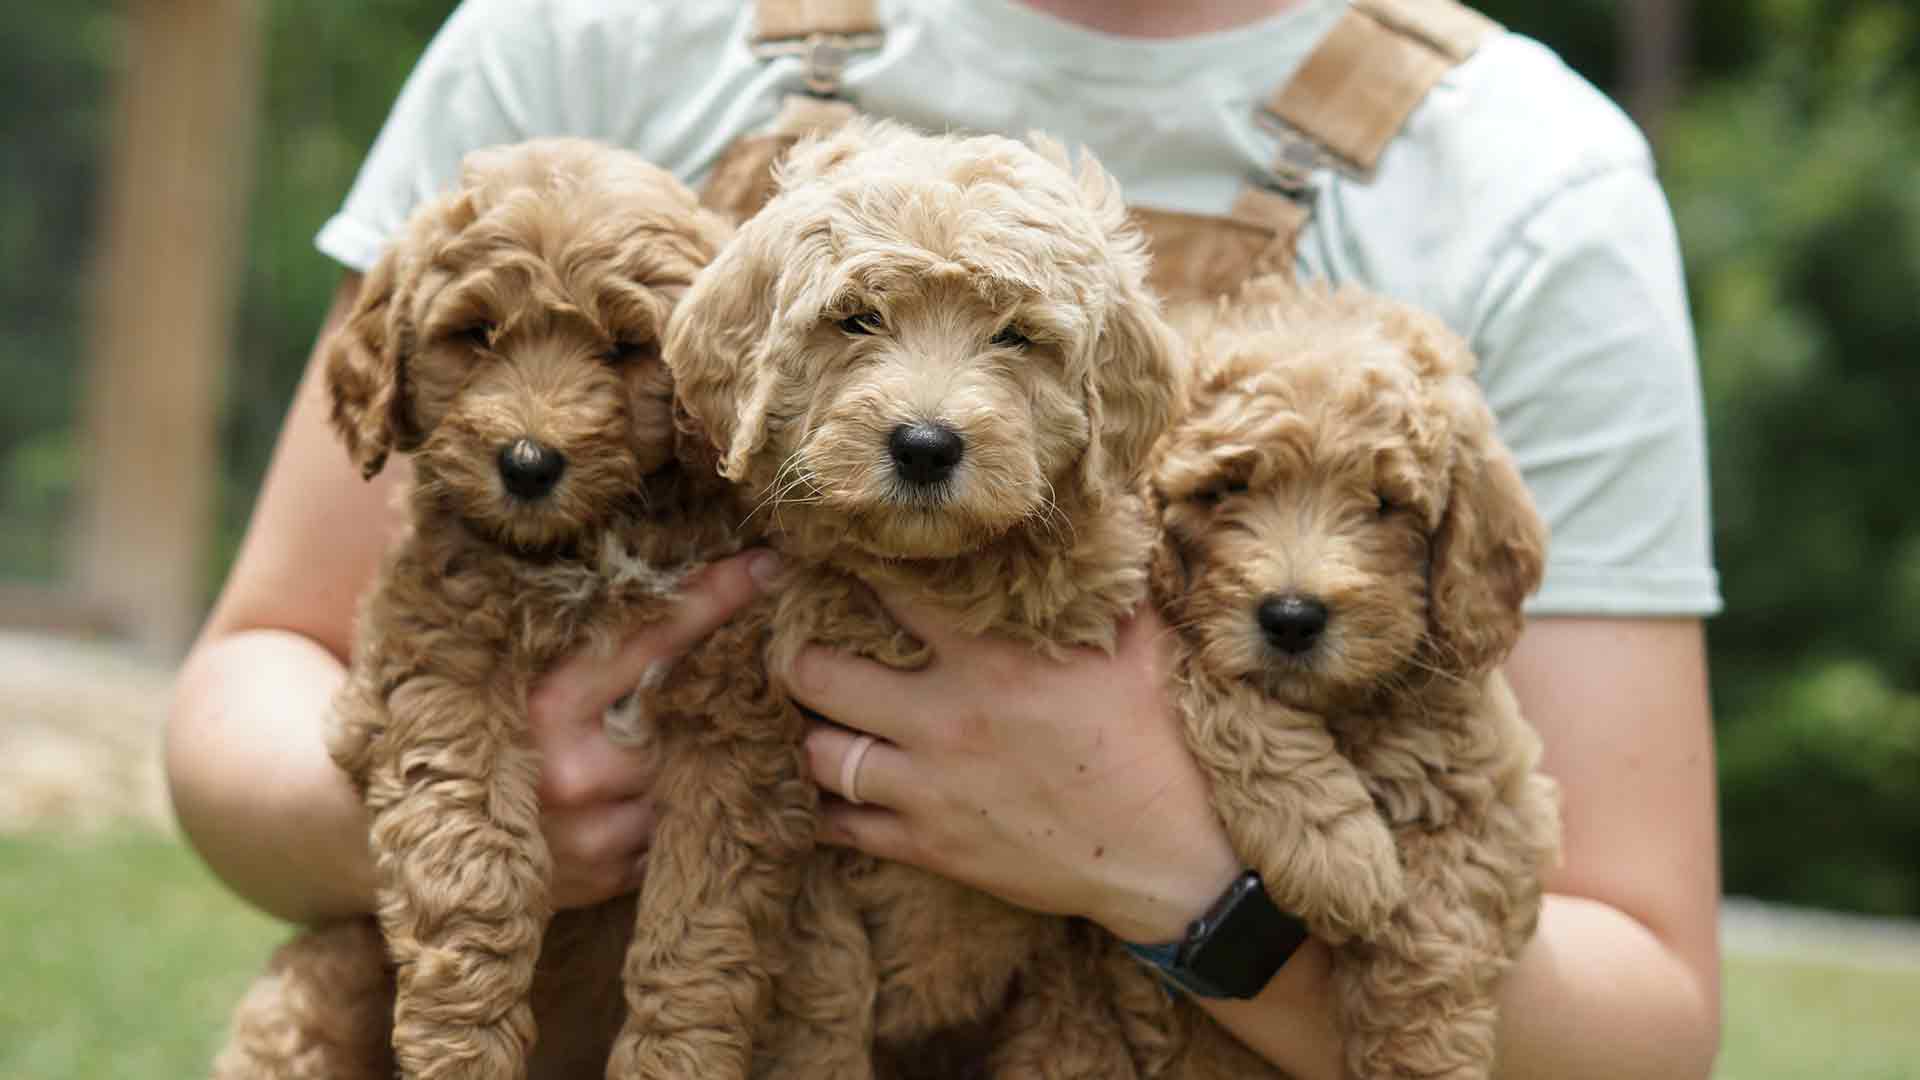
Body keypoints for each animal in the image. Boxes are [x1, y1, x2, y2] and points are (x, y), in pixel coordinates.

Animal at [210, 136, 733, 1076]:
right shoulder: (434, 662)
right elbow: (469, 847)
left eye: (626, 346)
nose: (528, 463)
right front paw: (462, 1047)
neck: (584, 547)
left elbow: (697, 925)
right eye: (477, 334)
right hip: (321, 974)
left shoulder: (729, 722)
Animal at [614, 119, 1182, 1076]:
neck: (930, 576)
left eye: (1015, 337)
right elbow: (823, 991)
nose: (924, 445)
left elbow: (1076, 1024)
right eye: (857, 318)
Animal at [1136, 278, 1559, 1076]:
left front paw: (1422, 1060)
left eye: (1387, 503)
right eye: (1224, 488)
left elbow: (1435, 927)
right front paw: (1333, 849)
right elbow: (1209, 673)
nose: (1293, 618)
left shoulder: (1501, 800)